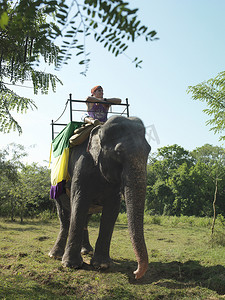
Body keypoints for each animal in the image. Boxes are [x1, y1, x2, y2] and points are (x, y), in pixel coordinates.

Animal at [49, 115, 151, 278]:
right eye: (119, 152)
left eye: (149, 150)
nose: (135, 272)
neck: (100, 129)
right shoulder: (81, 165)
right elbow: (79, 203)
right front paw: (71, 265)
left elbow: (112, 210)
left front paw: (102, 265)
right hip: (56, 185)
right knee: (64, 216)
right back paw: (56, 255)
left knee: (86, 217)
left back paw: (86, 251)